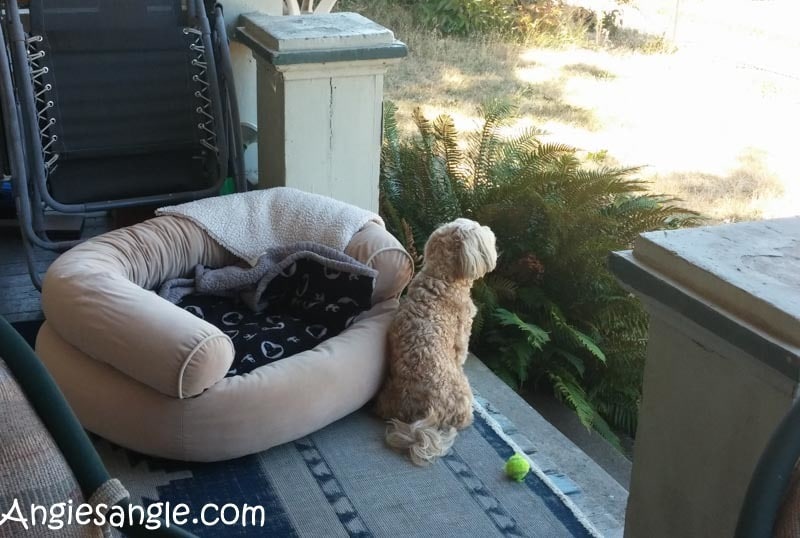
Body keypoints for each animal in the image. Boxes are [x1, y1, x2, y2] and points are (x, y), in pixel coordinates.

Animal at [374, 216, 494, 462]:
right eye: (478, 229)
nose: (490, 230)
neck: (441, 279)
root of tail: (430, 412)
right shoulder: (462, 339)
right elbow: (461, 355)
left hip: (387, 396)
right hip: (463, 391)